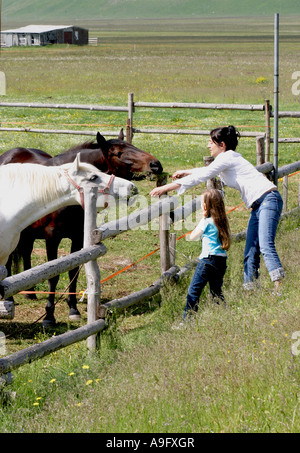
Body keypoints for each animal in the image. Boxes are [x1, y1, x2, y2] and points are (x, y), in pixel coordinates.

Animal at [2, 130, 163, 324]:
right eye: (118, 153)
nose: (155, 165)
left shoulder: (78, 237)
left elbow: (73, 272)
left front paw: (73, 309)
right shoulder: (52, 238)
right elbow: (54, 275)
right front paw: (49, 315)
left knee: (26, 253)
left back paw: (30, 292)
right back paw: (10, 299)